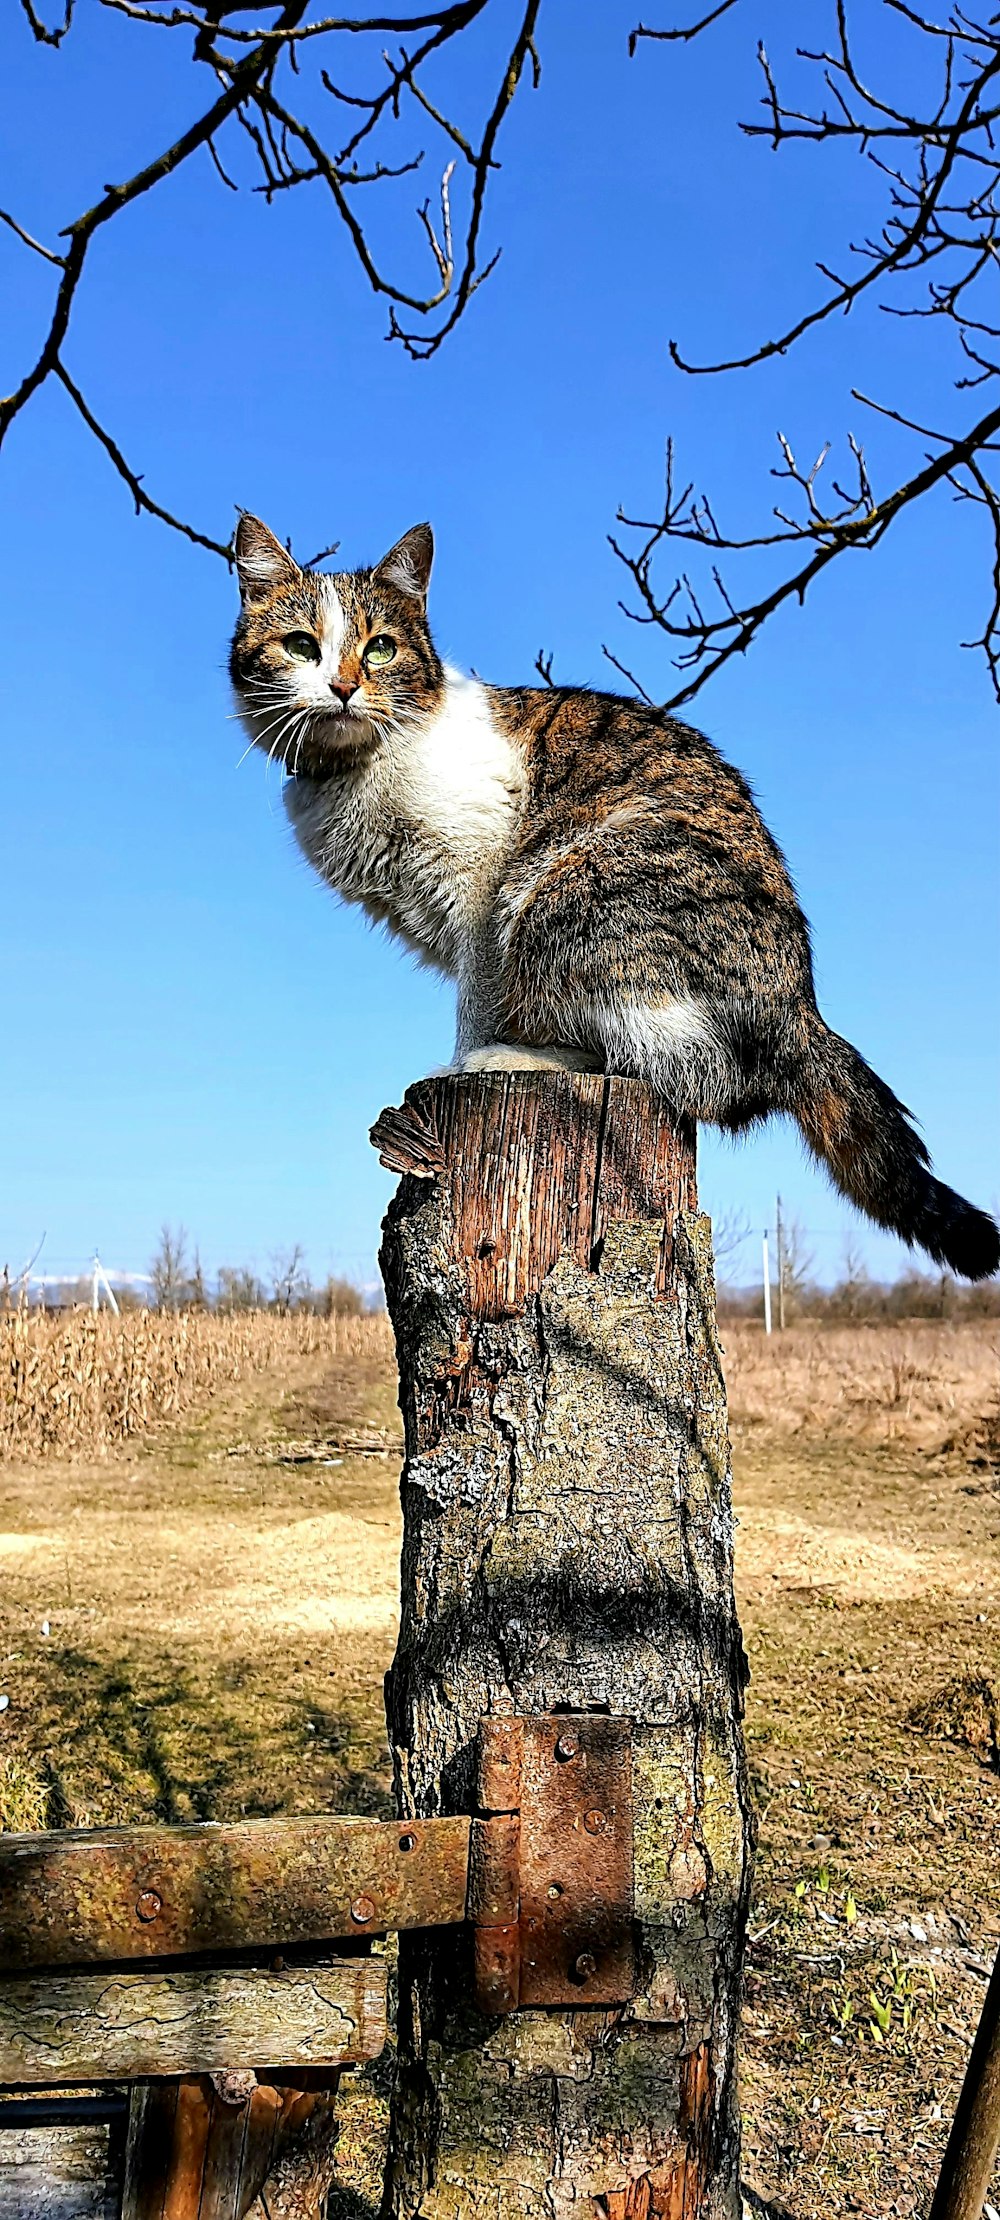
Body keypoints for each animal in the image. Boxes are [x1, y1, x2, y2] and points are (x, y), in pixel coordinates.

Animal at [228, 512, 1000, 1287]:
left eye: (380, 648)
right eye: (303, 646)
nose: (343, 686)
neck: (353, 771)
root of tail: (801, 1007)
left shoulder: (482, 886)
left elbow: (476, 997)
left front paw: (461, 1057)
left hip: (562, 887)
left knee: (679, 1070)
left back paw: (514, 1057)